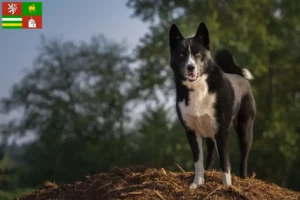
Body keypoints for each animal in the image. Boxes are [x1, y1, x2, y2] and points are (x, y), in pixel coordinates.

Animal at [169, 22, 255, 189]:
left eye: (197, 53)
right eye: (181, 54)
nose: (190, 67)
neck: (198, 88)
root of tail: (240, 77)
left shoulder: (221, 131)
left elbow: (225, 163)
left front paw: (227, 187)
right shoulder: (191, 132)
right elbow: (198, 162)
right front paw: (196, 184)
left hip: (245, 129)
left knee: (244, 156)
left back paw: (244, 179)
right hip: (208, 132)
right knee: (209, 155)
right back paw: (208, 172)